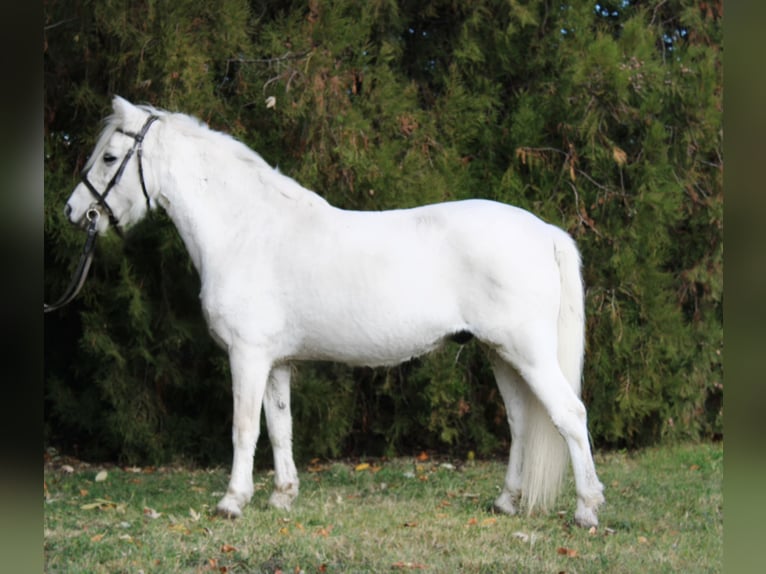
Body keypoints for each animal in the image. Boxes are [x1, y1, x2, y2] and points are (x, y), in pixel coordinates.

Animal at [62, 96, 605, 527]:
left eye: (109, 156)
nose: (72, 212)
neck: (246, 230)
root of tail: (544, 231)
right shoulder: (276, 362)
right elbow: (279, 428)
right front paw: (282, 496)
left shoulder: (247, 356)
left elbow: (244, 428)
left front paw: (232, 502)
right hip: (501, 354)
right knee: (521, 423)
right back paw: (507, 502)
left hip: (529, 354)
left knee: (571, 415)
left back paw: (586, 511)